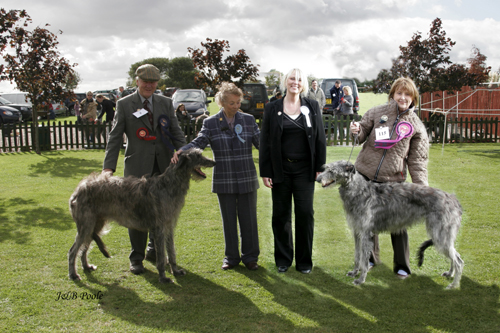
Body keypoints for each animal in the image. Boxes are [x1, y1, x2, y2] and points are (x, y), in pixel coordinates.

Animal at [67, 148, 215, 282]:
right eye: (198, 155)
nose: (213, 162)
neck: (168, 185)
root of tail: (78, 189)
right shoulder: (159, 229)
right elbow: (161, 257)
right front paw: (163, 277)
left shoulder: (169, 227)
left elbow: (171, 252)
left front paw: (176, 271)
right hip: (86, 225)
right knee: (73, 250)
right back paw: (73, 274)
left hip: (95, 224)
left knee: (84, 248)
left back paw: (86, 266)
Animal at [318, 160, 462, 288]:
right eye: (326, 168)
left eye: (331, 171)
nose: (318, 179)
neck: (359, 190)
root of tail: (453, 199)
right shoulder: (357, 232)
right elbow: (357, 255)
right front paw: (354, 272)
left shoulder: (365, 234)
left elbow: (364, 259)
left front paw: (361, 279)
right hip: (444, 236)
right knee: (455, 255)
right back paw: (450, 273)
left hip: (440, 235)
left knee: (459, 261)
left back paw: (453, 285)